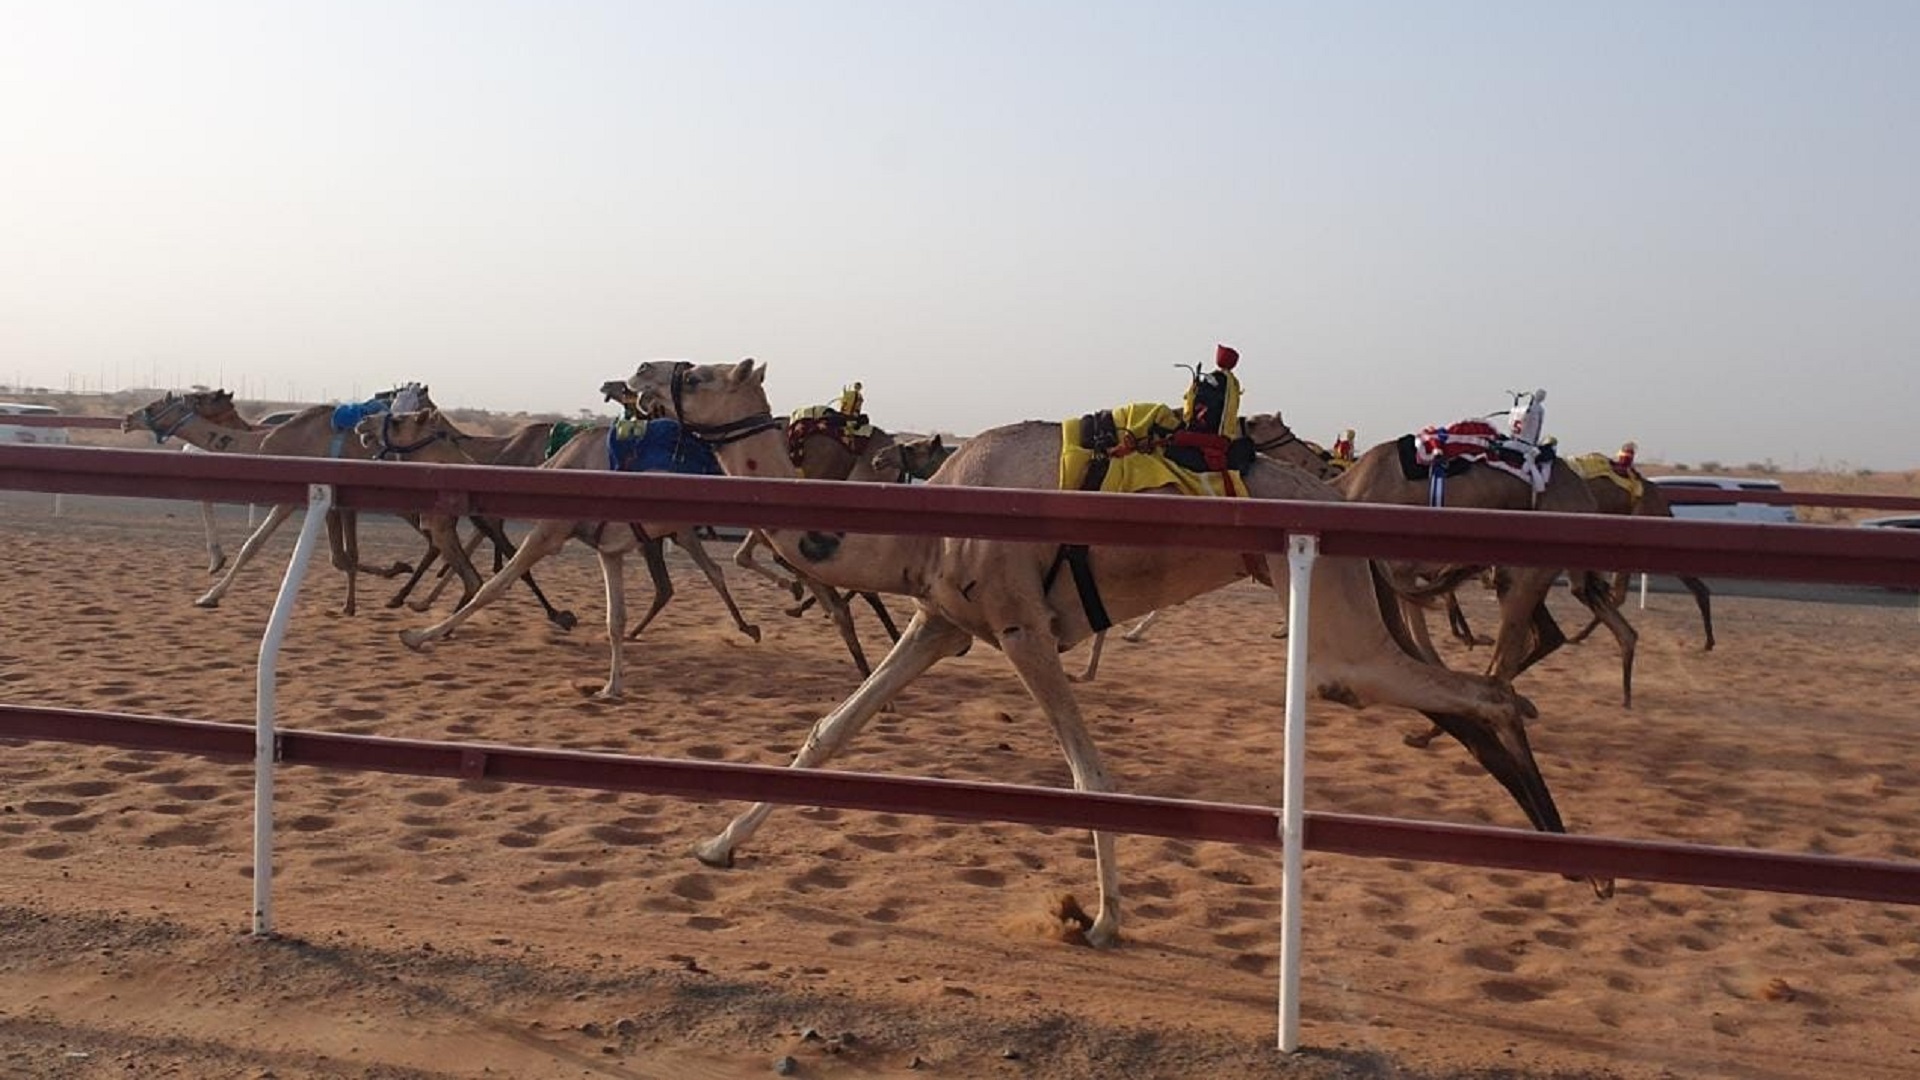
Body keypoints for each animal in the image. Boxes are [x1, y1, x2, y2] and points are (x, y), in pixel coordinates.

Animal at [389, 405, 764, 699]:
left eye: (397, 420)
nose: (372, 427)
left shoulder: (551, 530)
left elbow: (493, 586)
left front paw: (417, 635)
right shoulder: (608, 549)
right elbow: (615, 618)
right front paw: (611, 687)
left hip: (689, 530)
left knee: (716, 568)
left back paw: (752, 626)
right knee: (702, 573)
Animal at [629, 359, 1589, 941]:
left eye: (699, 371)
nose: (633, 374)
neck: (924, 527)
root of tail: (1339, 493)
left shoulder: (1021, 626)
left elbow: (1091, 775)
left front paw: (1102, 920)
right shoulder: (943, 622)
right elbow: (831, 730)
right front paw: (716, 847)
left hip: (1335, 619)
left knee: (1479, 692)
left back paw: (1580, 859)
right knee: (1456, 697)